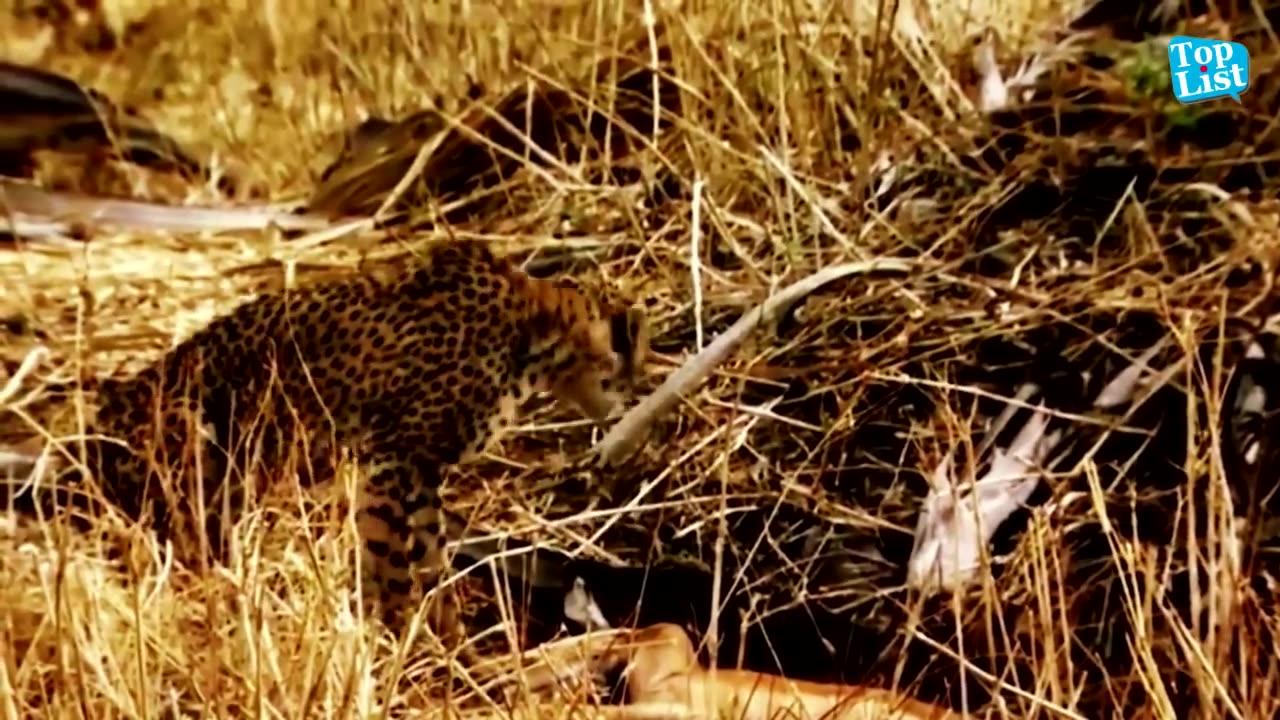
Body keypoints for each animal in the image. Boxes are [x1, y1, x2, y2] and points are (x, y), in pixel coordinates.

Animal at [13, 238, 645, 625]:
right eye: (634, 348)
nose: (637, 394)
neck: (536, 330)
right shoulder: (393, 458)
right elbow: (389, 558)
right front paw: (396, 632)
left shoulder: (419, 473)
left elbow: (429, 556)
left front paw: (442, 631)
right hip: (197, 436)